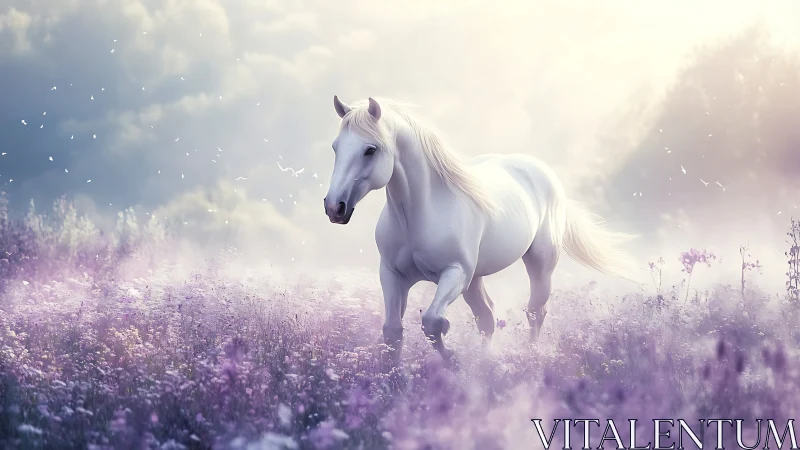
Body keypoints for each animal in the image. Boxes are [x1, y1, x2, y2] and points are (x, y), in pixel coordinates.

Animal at [323, 95, 639, 365]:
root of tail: (542, 172)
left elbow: (432, 322)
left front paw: (452, 360)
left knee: (535, 311)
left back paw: (530, 355)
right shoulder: (392, 275)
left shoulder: (455, 273)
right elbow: (392, 331)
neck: (420, 213)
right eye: (335, 147)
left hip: (538, 265)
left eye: (370, 149)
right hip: (475, 280)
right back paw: (485, 363)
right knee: (487, 318)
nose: (334, 207)